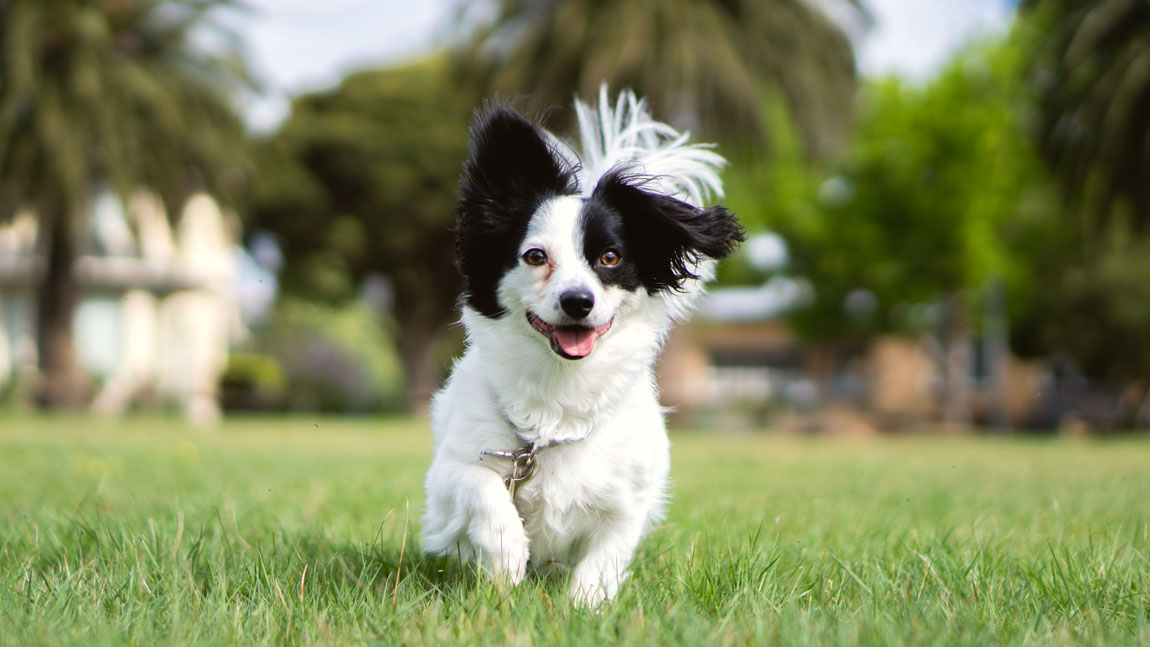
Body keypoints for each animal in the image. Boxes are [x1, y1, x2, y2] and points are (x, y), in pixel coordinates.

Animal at [423, 87, 745, 606]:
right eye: (536, 256)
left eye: (610, 258)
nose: (578, 300)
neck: (561, 393)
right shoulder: (449, 475)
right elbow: (484, 491)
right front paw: (507, 557)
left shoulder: (626, 501)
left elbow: (605, 556)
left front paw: (584, 607)